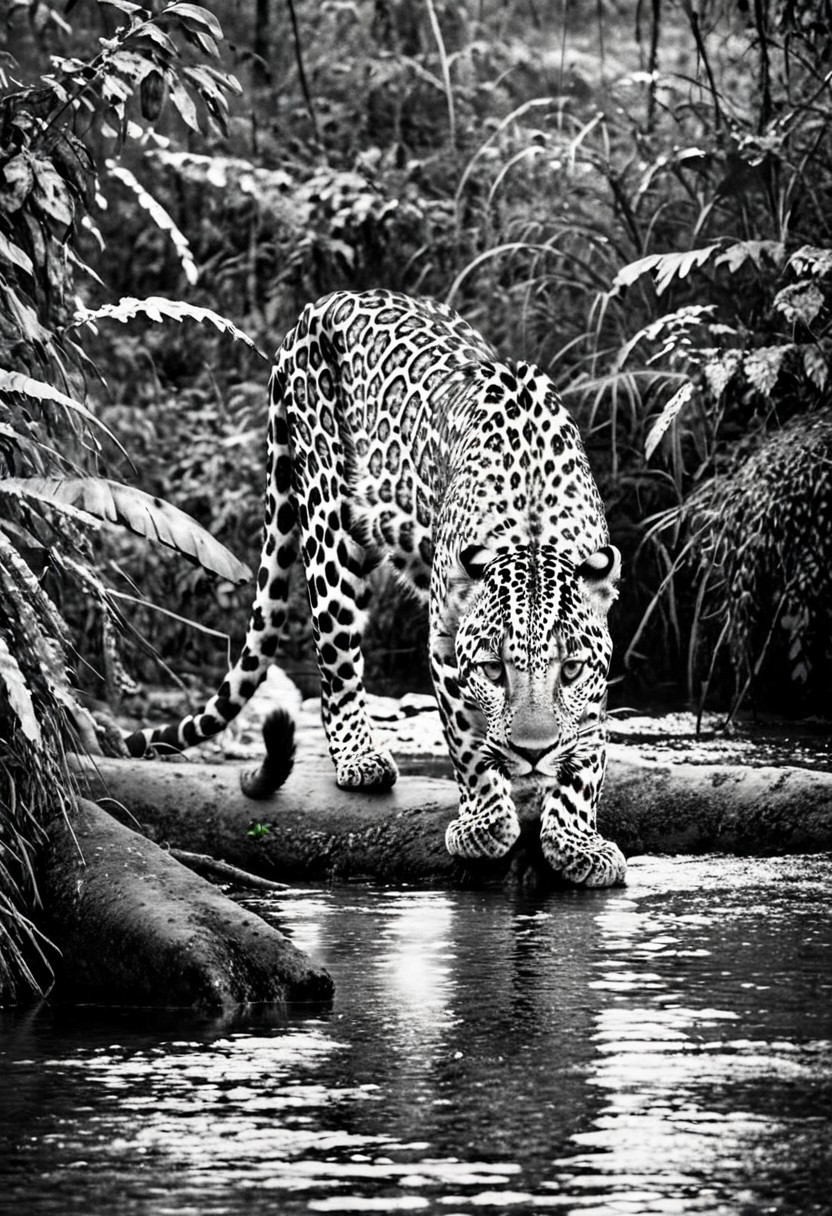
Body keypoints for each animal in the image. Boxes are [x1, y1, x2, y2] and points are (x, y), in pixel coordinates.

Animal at [126, 289, 626, 887]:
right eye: (492, 670)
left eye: (570, 669)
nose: (532, 753)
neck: (529, 518)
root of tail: (318, 305)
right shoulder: (443, 641)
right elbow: (466, 741)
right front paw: (485, 825)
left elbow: (585, 752)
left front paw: (577, 841)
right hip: (330, 531)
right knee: (335, 664)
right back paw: (360, 758)